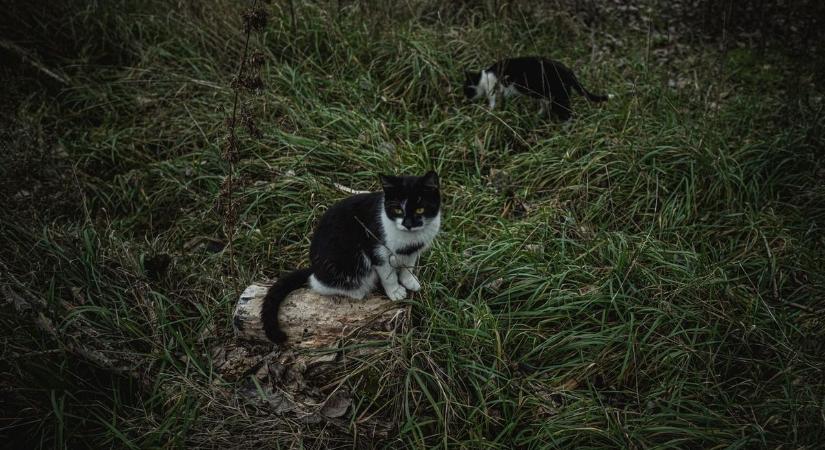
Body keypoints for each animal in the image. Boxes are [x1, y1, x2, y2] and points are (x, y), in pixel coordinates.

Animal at [264, 171, 444, 342]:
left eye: (420, 209)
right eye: (397, 210)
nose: (407, 224)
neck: (409, 239)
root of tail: (314, 267)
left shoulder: (413, 251)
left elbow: (409, 265)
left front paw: (409, 280)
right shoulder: (375, 248)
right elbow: (388, 275)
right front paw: (395, 292)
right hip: (346, 262)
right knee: (318, 283)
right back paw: (358, 292)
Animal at [466, 56, 608, 119]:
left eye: (466, 90)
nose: (466, 100)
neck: (485, 78)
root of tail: (568, 71)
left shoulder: (494, 89)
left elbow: (493, 102)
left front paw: (489, 112)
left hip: (558, 96)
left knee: (567, 114)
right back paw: (537, 116)